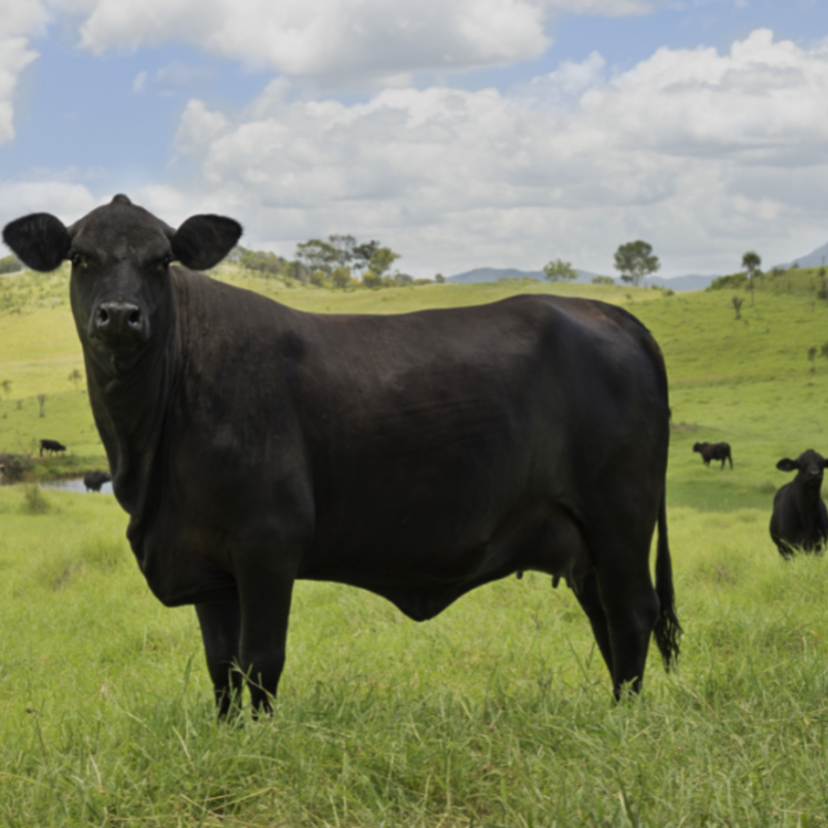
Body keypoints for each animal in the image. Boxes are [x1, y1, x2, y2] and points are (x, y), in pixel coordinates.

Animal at [3, 197, 684, 716]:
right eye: (80, 257)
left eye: (161, 259)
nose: (120, 316)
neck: (148, 451)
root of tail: (606, 312)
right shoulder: (204, 560)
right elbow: (222, 667)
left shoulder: (269, 542)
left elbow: (260, 662)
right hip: (584, 539)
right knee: (606, 618)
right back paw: (613, 711)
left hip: (621, 517)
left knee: (631, 614)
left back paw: (626, 723)